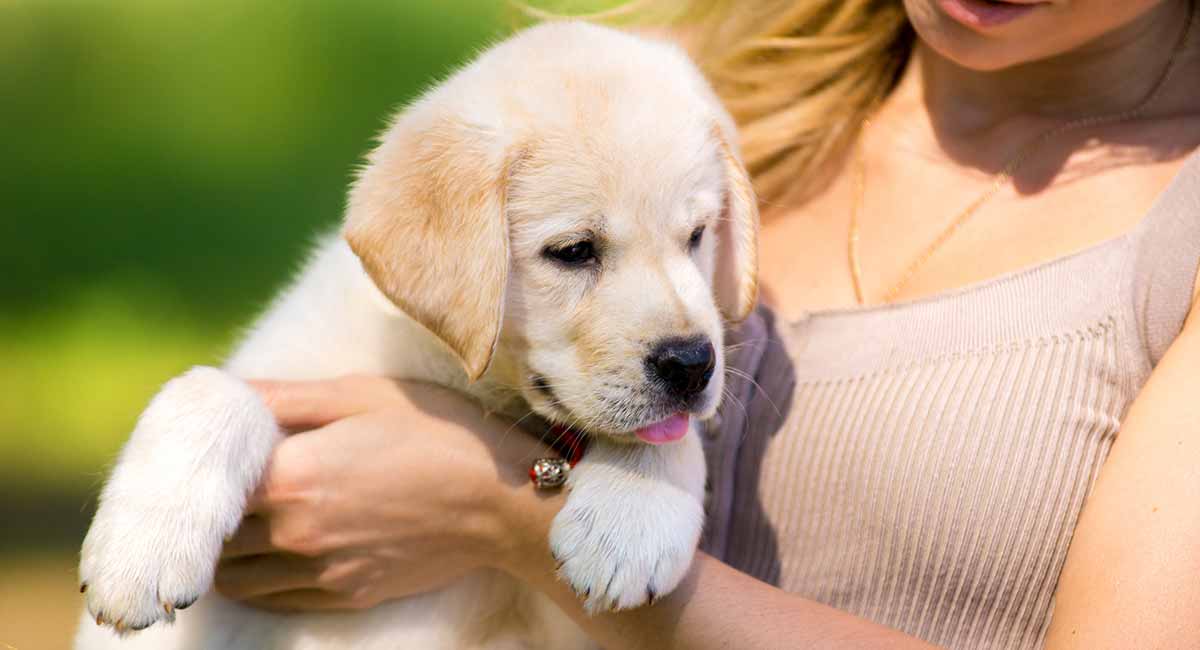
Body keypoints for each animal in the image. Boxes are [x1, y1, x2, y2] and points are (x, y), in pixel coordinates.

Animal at [72, 21, 758, 650]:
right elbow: (213, 391)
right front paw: (142, 552)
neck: (461, 376)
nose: (692, 365)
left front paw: (632, 515)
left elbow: (671, 434)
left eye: (697, 236)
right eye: (574, 251)